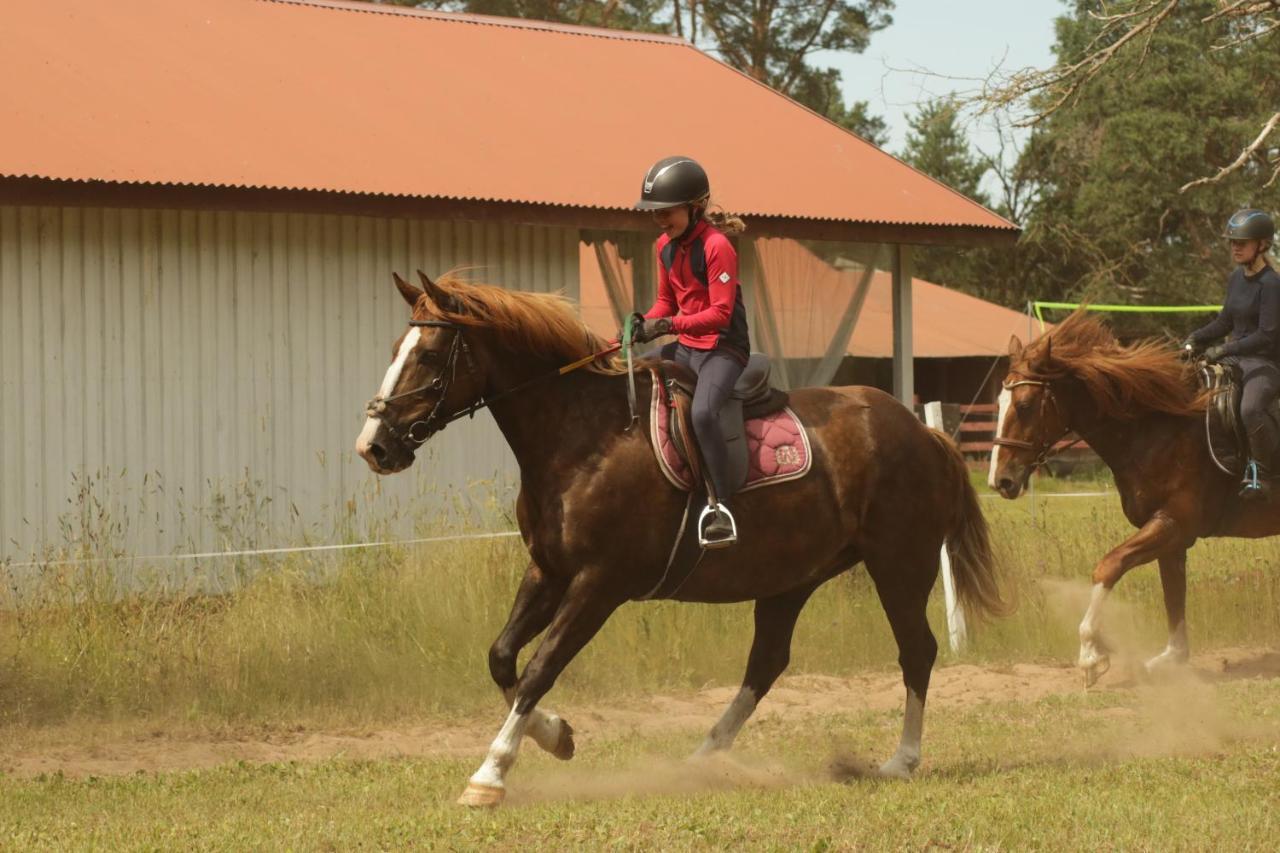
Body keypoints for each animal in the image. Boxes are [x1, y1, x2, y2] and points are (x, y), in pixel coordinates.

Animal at [355, 272, 1003, 804]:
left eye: (430, 355)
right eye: (394, 352)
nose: (374, 447)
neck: (583, 436)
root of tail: (920, 431)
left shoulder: (599, 584)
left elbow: (539, 667)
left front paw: (490, 774)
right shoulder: (548, 570)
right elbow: (502, 658)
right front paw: (556, 735)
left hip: (900, 565)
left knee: (916, 651)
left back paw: (901, 760)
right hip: (792, 576)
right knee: (767, 663)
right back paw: (701, 759)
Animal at [983, 311, 1264, 686]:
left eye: (1025, 405)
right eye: (999, 404)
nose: (1000, 481)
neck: (1161, 430)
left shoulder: (1172, 523)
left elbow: (1108, 566)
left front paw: (1091, 653)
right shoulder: (1170, 535)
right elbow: (1173, 592)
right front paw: (1171, 660)